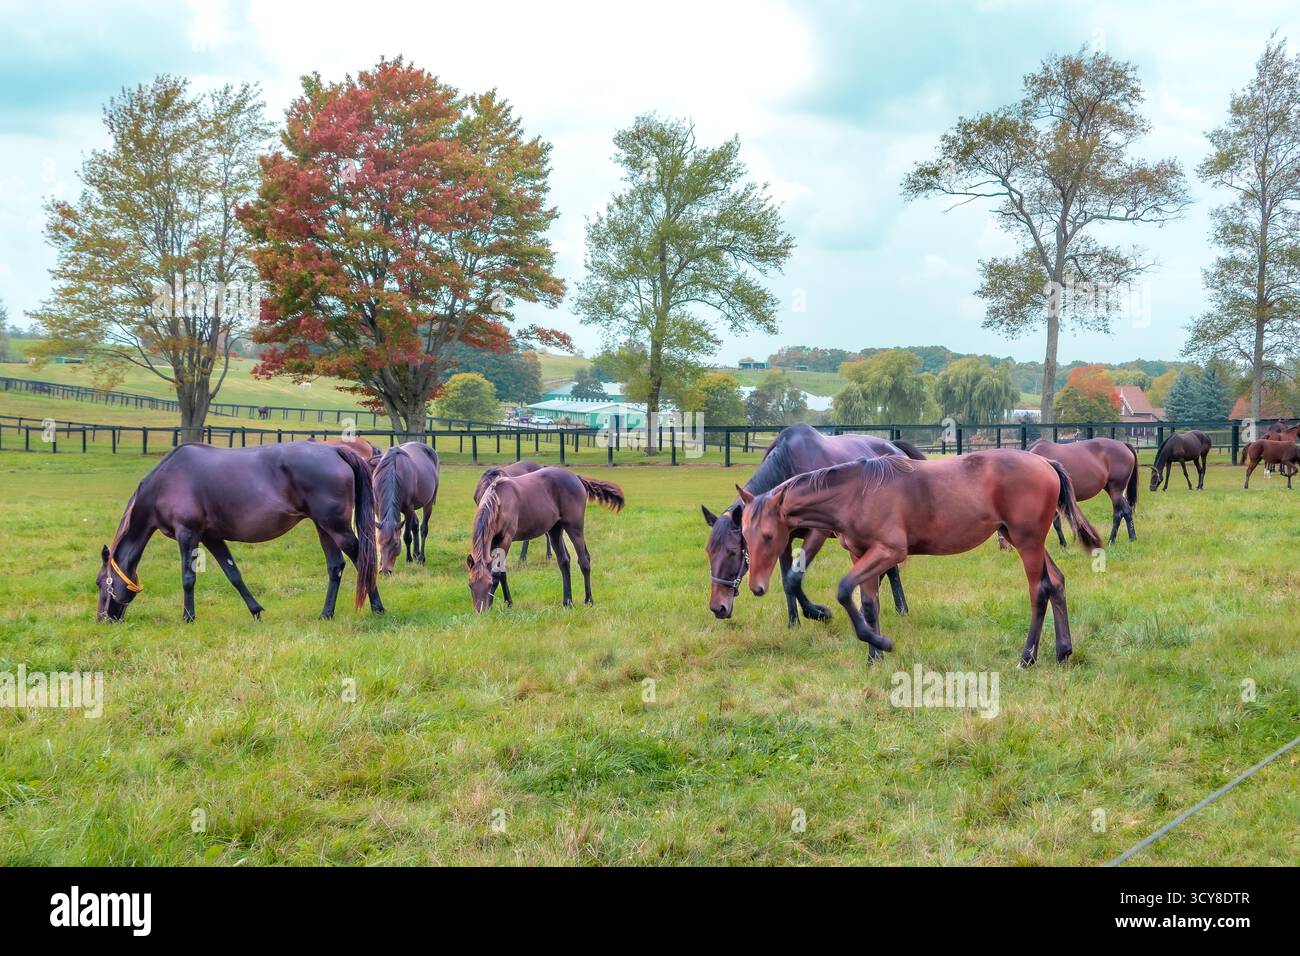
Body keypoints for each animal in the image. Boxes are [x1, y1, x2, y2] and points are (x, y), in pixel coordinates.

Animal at [97, 442, 381, 623]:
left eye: (101, 582)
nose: (102, 619)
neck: (166, 480)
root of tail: (335, 449)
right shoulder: (211, 537)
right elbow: (233, 574)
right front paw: (256, 611)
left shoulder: (187, 534)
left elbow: (188, 578)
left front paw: (188, 617)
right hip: (324, 528)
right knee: (336, 566)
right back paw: (326, 614)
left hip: (337, 528)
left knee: (362, 560)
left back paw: (377, 608)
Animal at [374, 442, 441, 573]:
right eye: (379, 542)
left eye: (395, 543)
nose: (385, 571)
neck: (393, 472)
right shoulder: (378, 508)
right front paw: (379, 563)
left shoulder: (408, 509)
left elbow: (406, 537)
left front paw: (408, 559)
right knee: (415, 525)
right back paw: (416, 553)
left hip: (428, 504)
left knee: (423, 529)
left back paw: (421, 558)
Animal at [466, 468, 623, 612]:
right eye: (470, 584)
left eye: (488, 584)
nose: (480, 611)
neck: (499, 502)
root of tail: (576, 477)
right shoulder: (493, 541)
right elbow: (502, 572)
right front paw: (508, 602)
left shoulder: (506, 539)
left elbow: (497, 573)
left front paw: (494, 605)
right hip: (555, 530)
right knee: (564, 561)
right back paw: (567, 602)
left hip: (575, 528)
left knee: (584, 560)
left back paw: (589, 601)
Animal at [701, 422, 927, 625]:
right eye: (709, 552)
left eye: (732, 552)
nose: (717, 607)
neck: (788, 469)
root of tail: (895, 448)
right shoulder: (782, 540)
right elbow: (787, 582)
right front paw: (794, 623)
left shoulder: (817, 533)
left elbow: (793, 579)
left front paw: (819, 613)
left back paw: (895, 609)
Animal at [739, 450, 1102, 666]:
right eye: (744, 536)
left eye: (768, 536)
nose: (756, 587)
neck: (857, 493)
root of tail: (1046, 463)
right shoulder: (861, 553)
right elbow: (868, 604)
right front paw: (874, 656)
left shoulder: (889, 551)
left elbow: (843, 590)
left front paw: (881, 643)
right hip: (1024, 540)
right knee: (1056, 583)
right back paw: (1063, 651)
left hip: (1027, 543)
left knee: (1039, 591)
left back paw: (1026, 657)